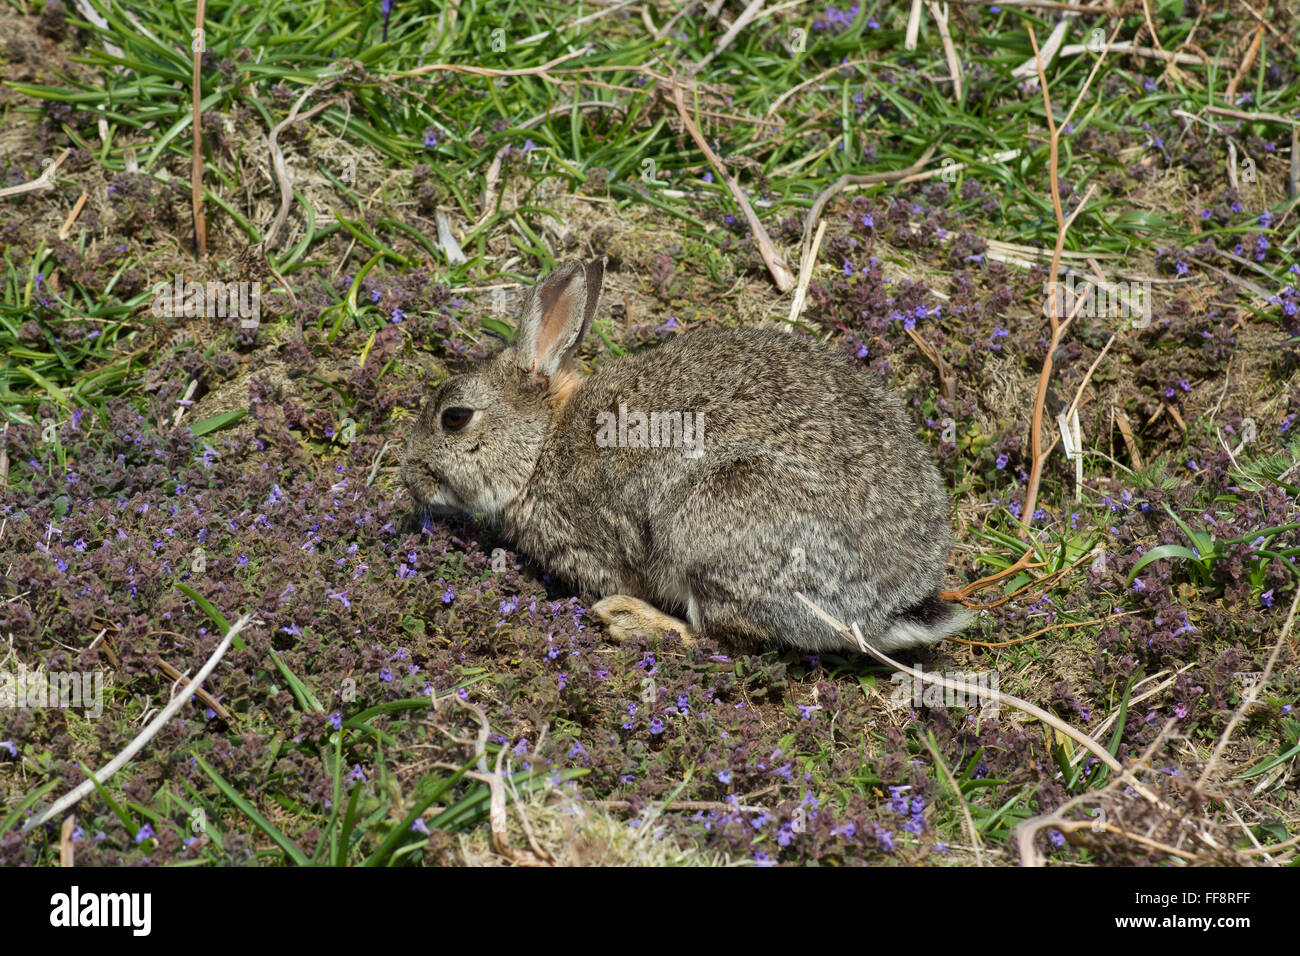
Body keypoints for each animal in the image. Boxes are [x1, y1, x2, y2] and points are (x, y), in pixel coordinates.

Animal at [402, 258, 970, 655]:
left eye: (455, 417)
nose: (412, 477)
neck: (542, 443)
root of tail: (887, 608)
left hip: (712, 528)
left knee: (721, 637)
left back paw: (628, 620)